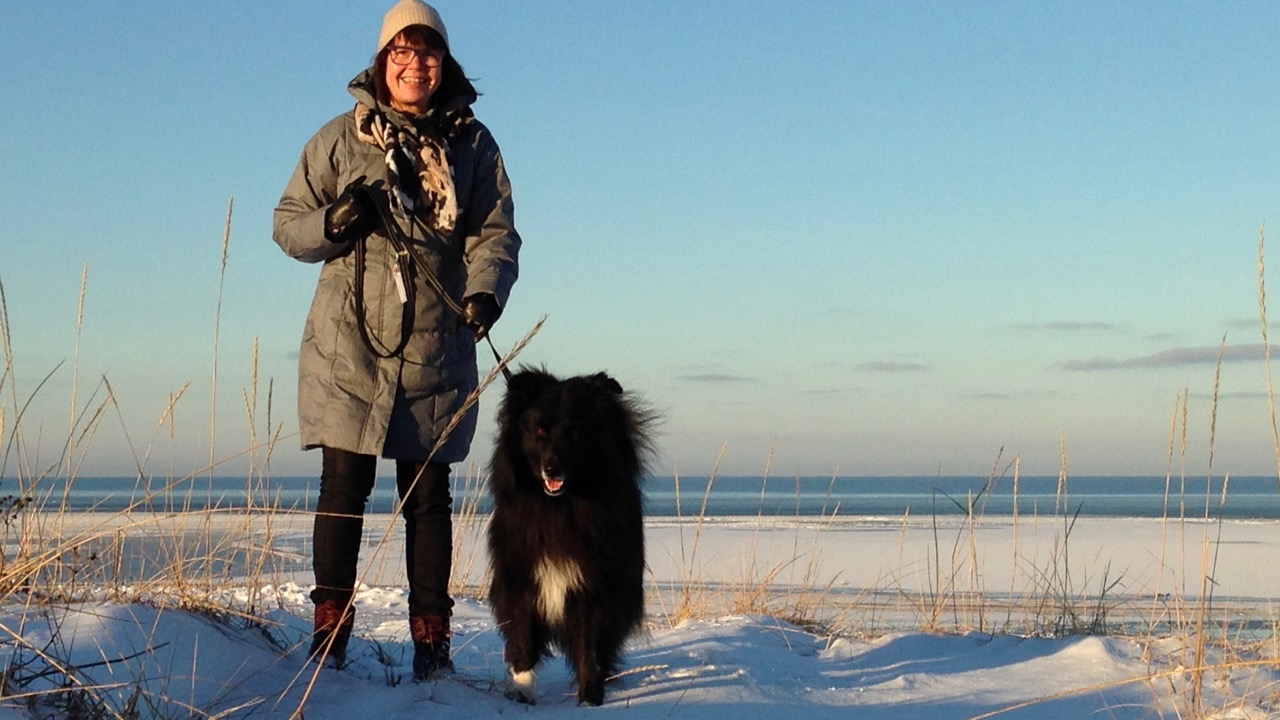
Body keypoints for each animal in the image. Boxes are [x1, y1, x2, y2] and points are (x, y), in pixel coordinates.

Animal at [486, 367, 655, 706]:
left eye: (574, 432)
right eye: (538, 430)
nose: (552, 469)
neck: (559, 507)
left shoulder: (594, 581)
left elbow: (590, 647)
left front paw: (590, 700)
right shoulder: (521, 575)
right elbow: (522, 639)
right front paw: (522, 691)